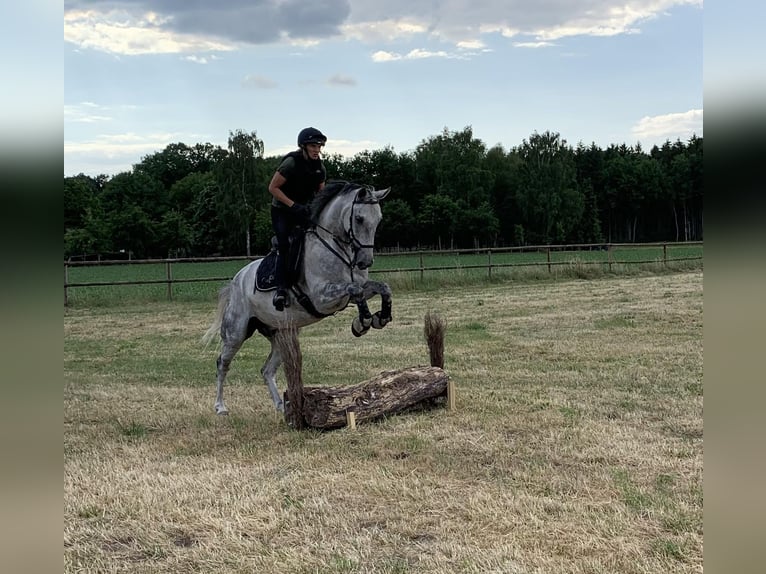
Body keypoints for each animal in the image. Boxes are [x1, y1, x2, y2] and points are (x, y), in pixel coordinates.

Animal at [202, 182, 392, 416]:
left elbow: (382, 288)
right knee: (222, 363)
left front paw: (380, 317)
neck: (337, 249)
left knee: (267, 370)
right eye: (359, 219)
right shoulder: (322, 298)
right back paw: (220, 407)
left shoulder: (357, 290)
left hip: (282, 332)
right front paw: (363, 322)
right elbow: (354, 290)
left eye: (378, 219)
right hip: (236, 332)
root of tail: (236, 281)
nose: (365, 262)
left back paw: (281, 405)